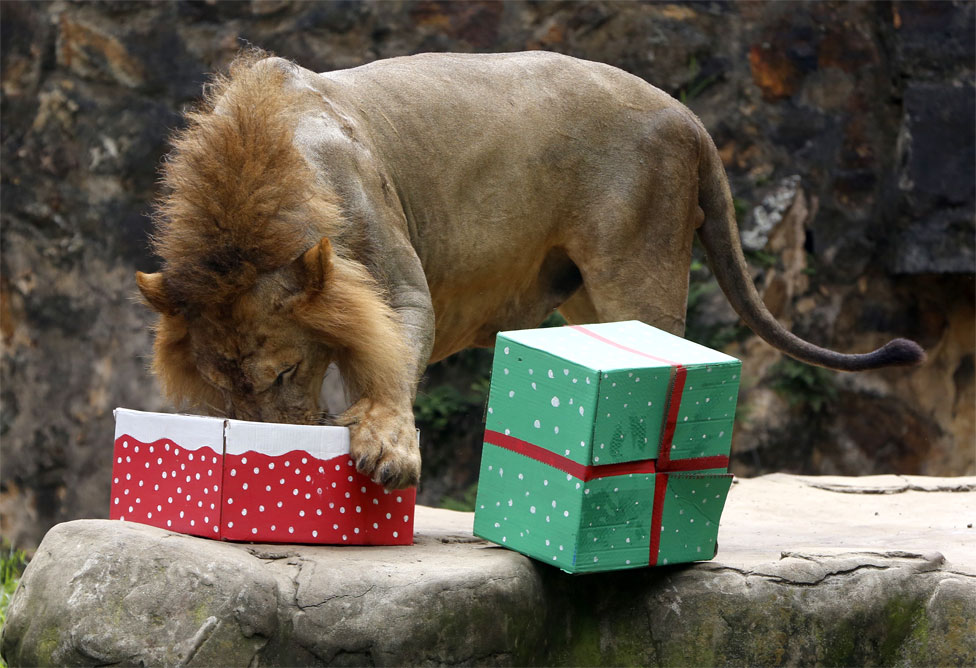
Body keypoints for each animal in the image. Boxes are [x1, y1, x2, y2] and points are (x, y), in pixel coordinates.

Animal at [136, 51, 923, 489]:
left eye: (284, 374)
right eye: (223, 390)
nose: (271, 443)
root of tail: (686, 115)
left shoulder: (398, 281)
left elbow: (389, 365)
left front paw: (388, 448)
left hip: (637, 263)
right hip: (587, 297)